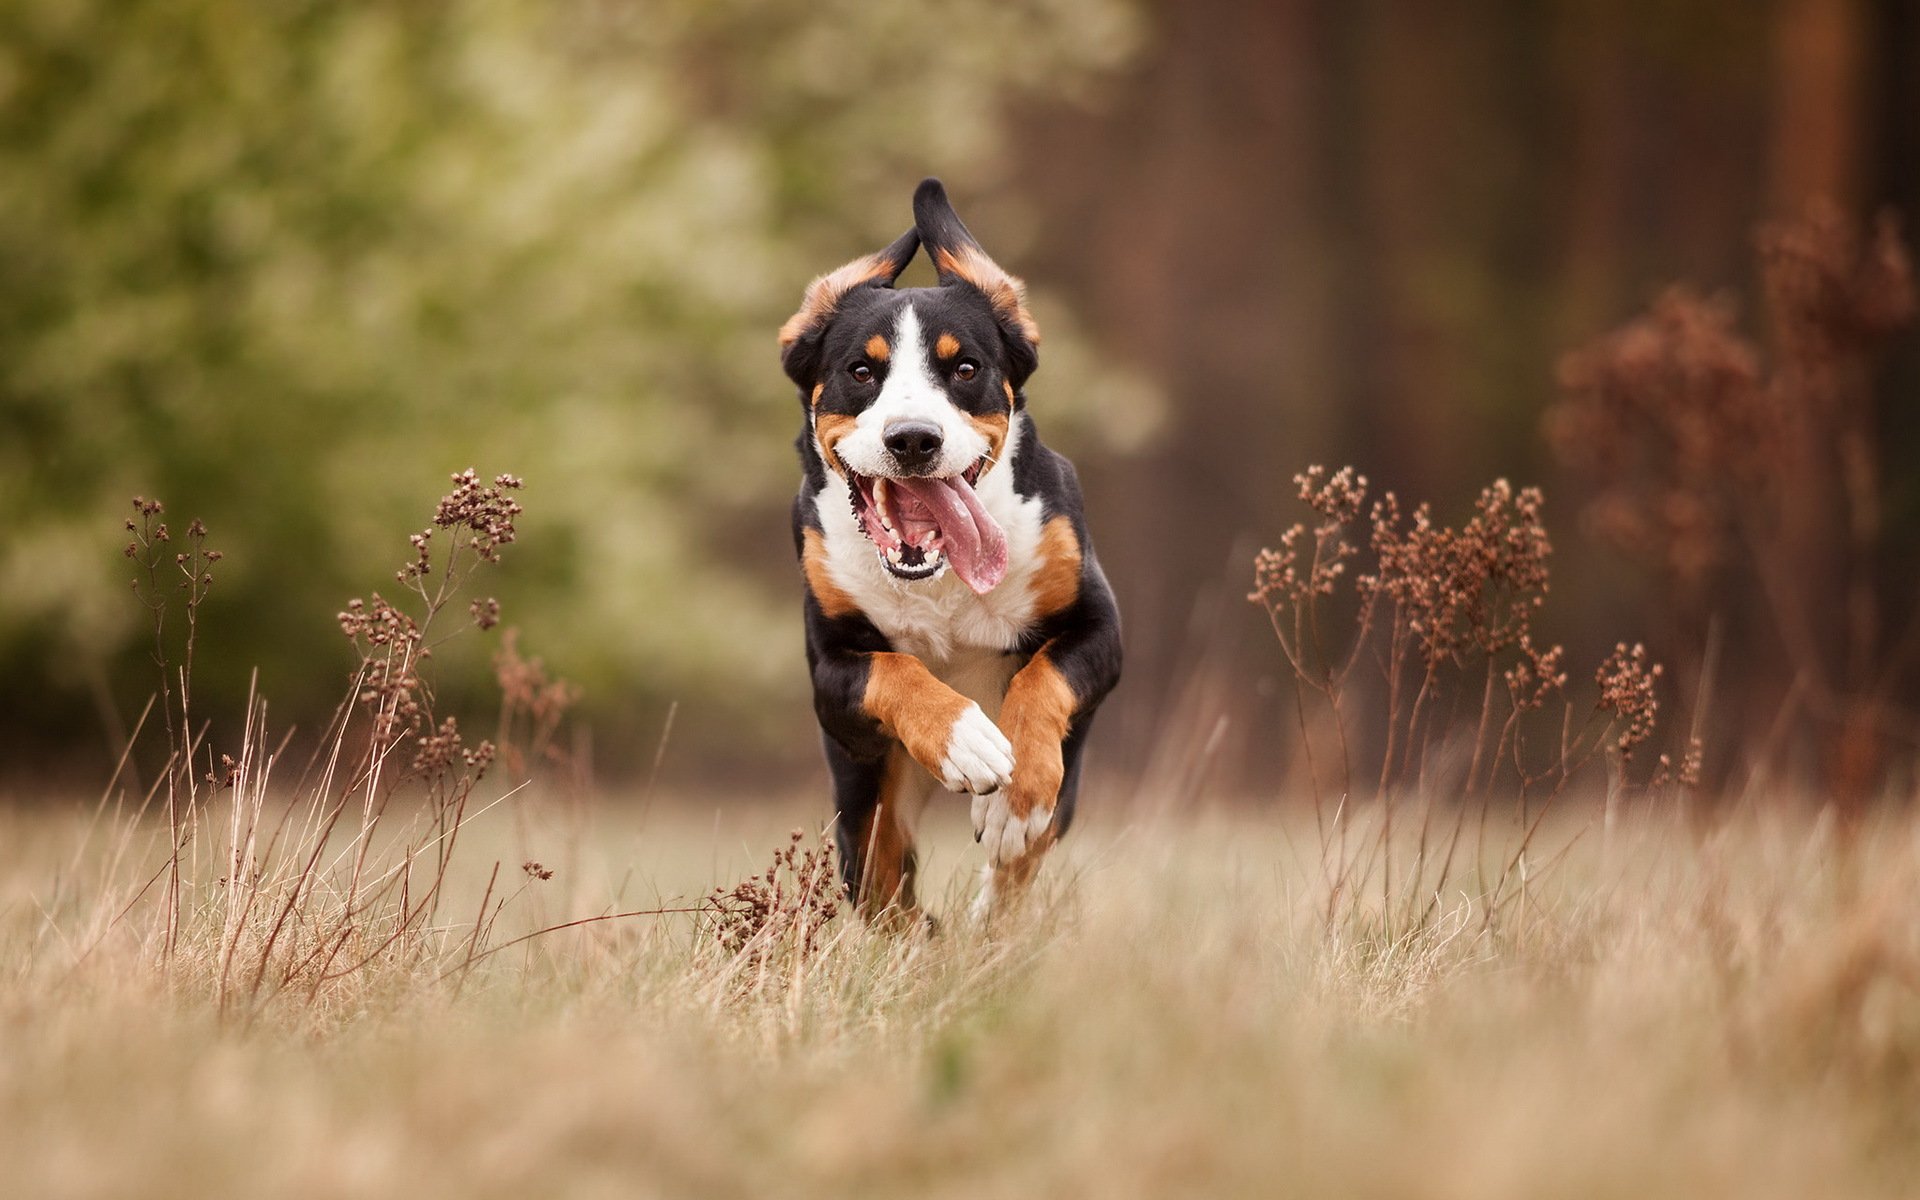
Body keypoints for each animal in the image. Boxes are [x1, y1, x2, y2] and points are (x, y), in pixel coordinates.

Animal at [775, 177, 1121, 917]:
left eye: (965, 368)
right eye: (860, 371)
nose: (913, 438)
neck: (939, 583)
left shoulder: (1101, 626)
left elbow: (1041, 677)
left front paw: (1012, 799)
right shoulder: (831, 672)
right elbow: (895, 669)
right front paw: (965, 740)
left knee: (1019, 865)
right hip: (861, 799)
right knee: (884, 881)